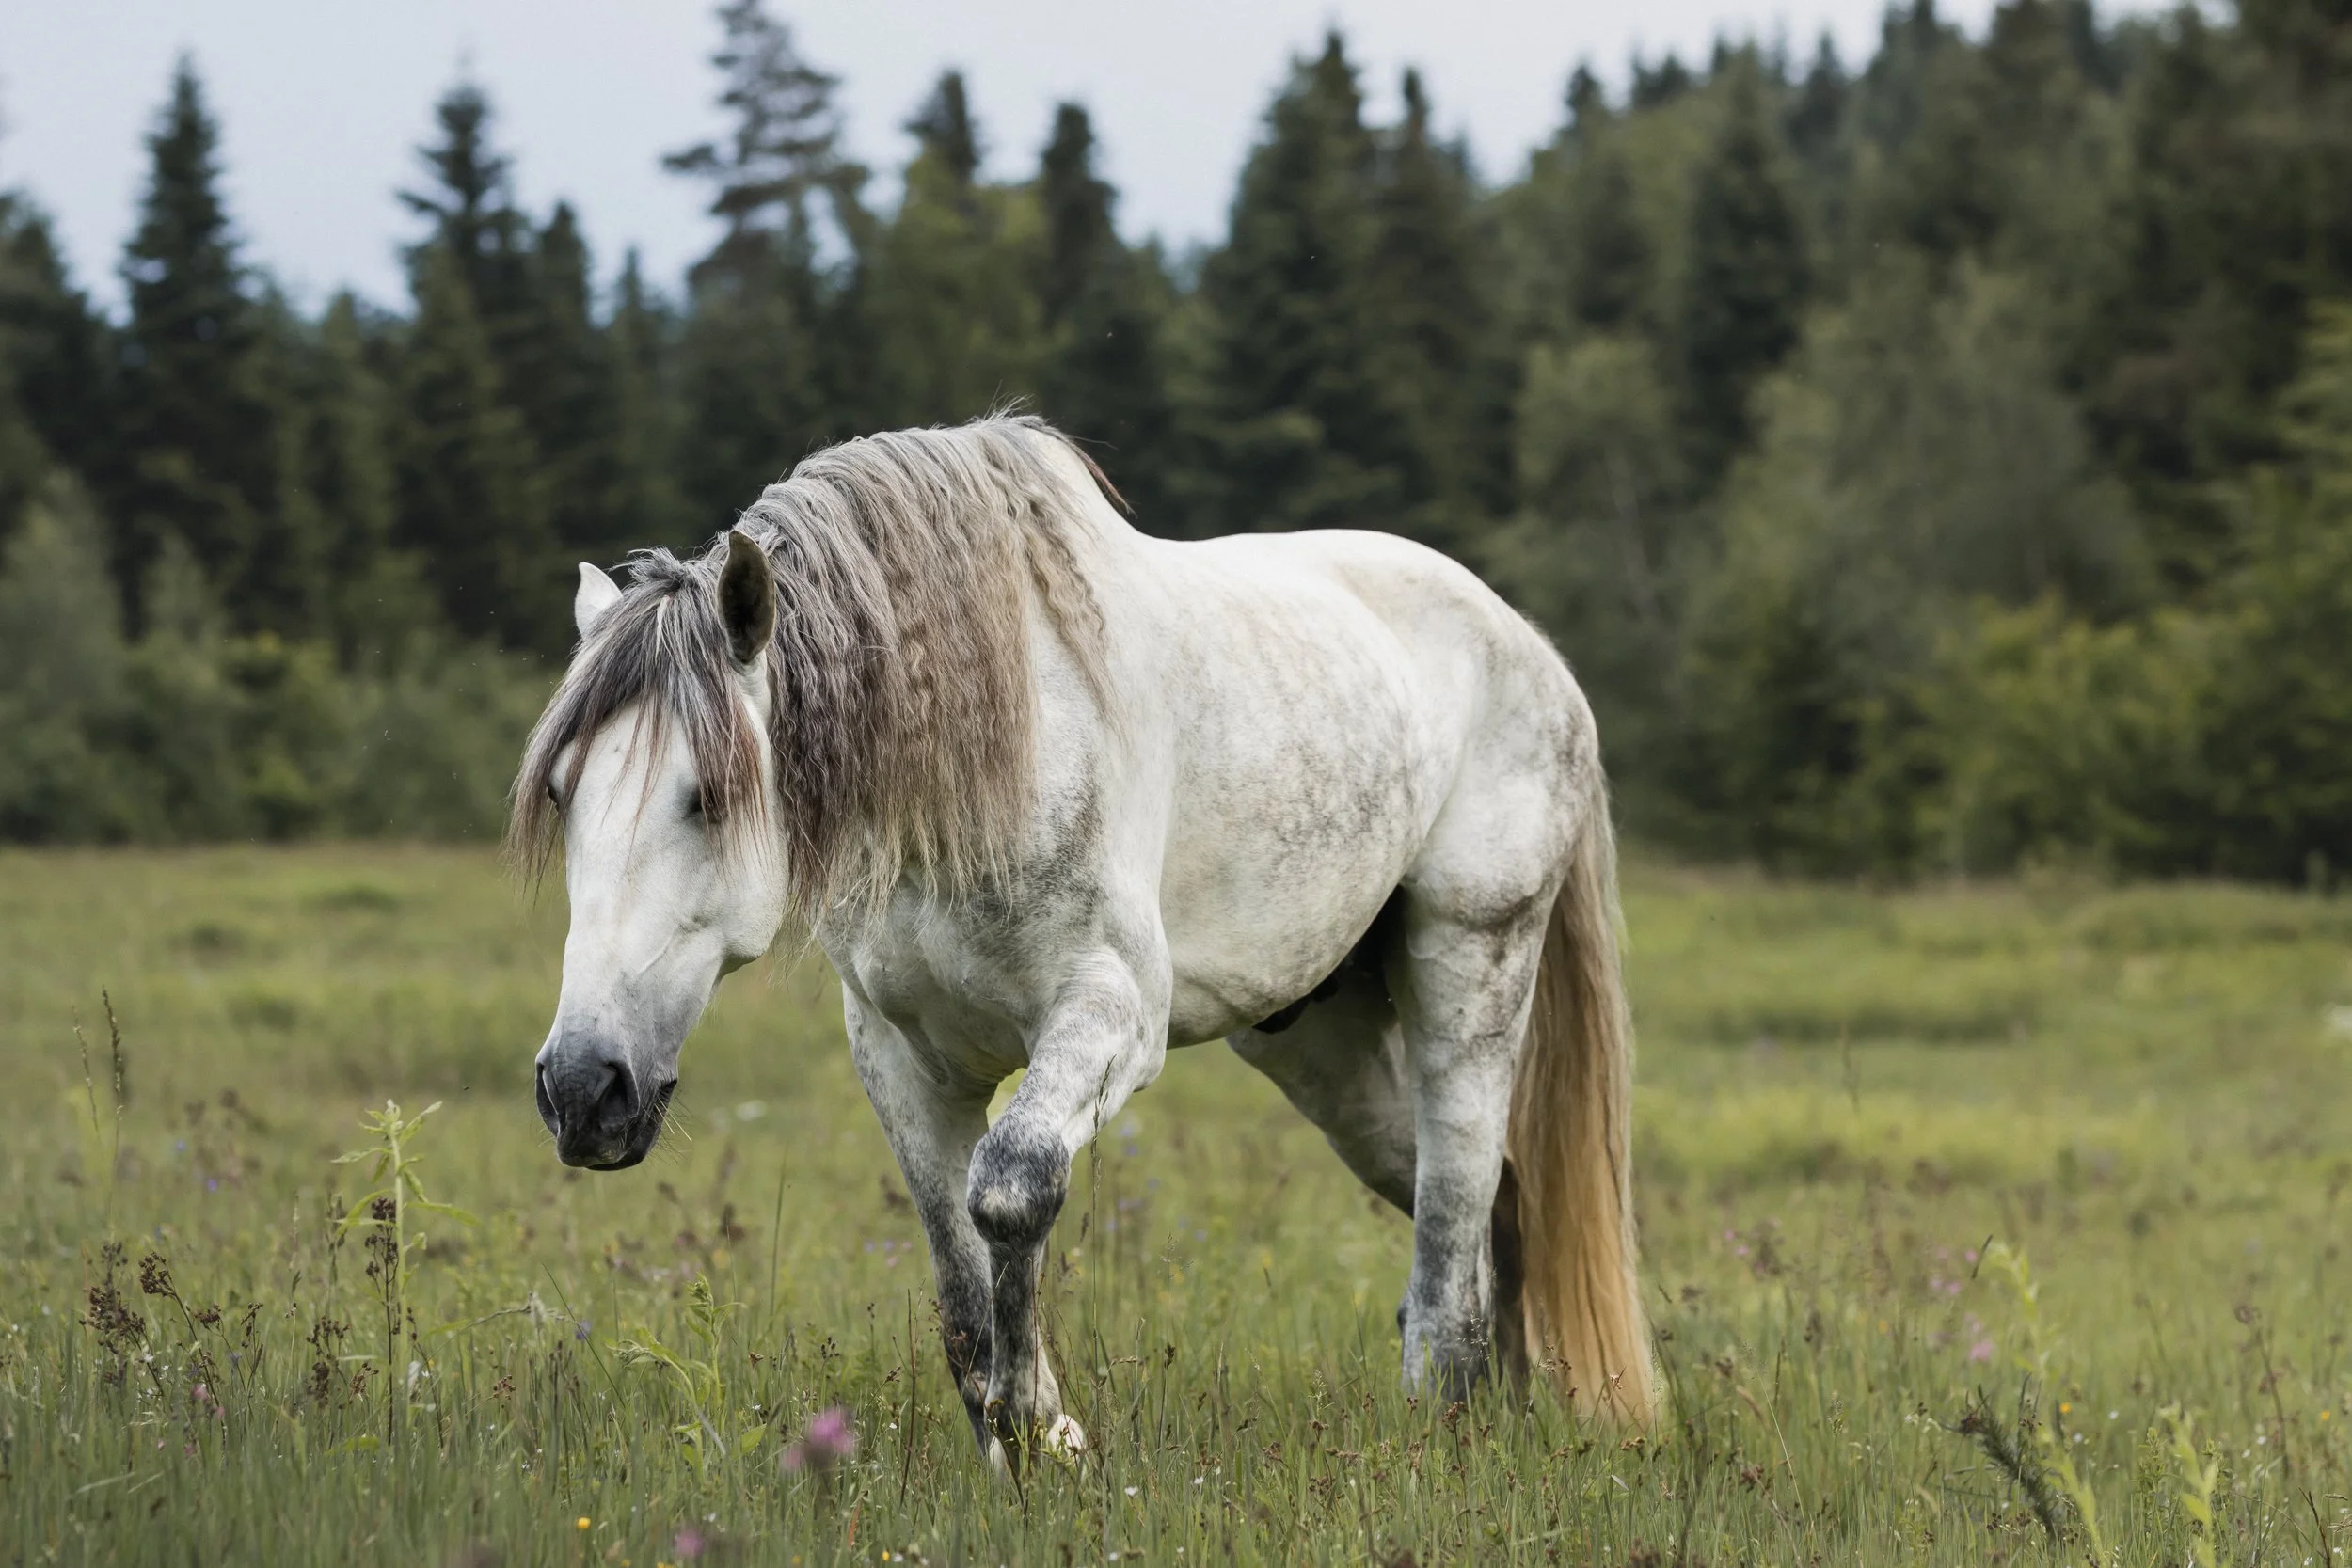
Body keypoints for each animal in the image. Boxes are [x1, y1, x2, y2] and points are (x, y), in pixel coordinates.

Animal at [510, 414, 1652, 1472]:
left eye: (707, 797)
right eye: (561, 794)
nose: (583, 1089)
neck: (979, 760)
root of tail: (1528, 645)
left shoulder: (1113, 1016)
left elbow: (1014, 1186)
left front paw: (1043, 1427)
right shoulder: (900, 1057)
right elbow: (958, 1277)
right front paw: (1012, 1442)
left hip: (1471, 966)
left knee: (1454, 1220)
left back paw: (1442, 1435)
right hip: (1320, 1044)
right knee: (1490, 1203)